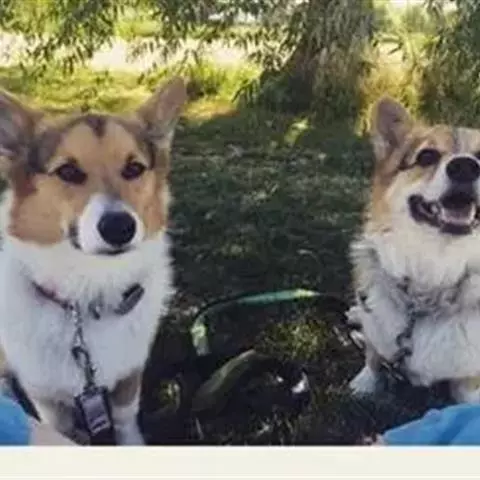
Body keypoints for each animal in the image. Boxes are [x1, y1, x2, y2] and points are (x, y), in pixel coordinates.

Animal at [0, 76, 187, 444]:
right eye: (68, 171)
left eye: (134, 168)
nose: (120, 227)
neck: (89, 291)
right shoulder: (46, 396)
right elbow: (59, 429)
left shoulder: (129, 373)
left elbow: (126, 417)